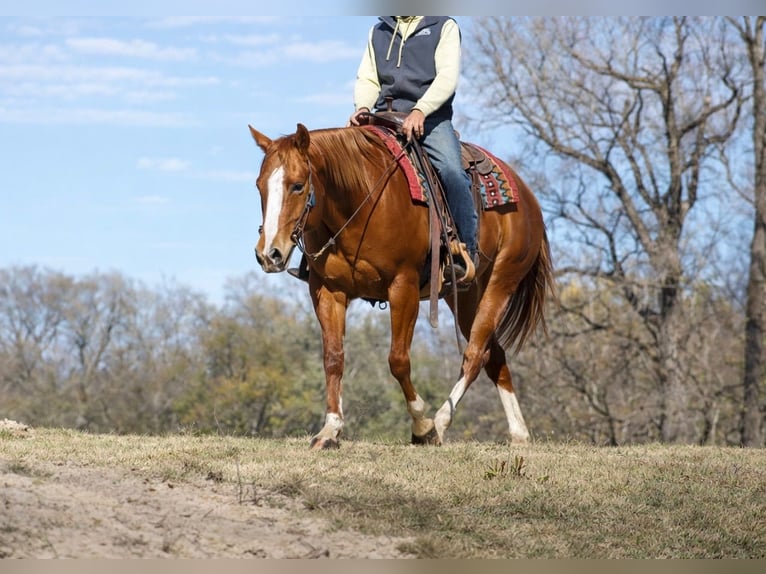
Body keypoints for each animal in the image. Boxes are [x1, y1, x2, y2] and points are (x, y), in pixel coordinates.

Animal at [248, 122, 554, 449]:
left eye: (297, 185)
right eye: (259, 185)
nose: (269, 253)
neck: (362, 200)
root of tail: (529, 198)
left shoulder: (402, 286)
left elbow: (398, 360)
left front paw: (422, 424)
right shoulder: (327, 291)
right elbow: (333, 358)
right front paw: (330, 430)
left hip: (501, 282)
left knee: (474, 355)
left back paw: (440, 425)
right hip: (466, 295)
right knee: (492, 353)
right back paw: (519, 433)